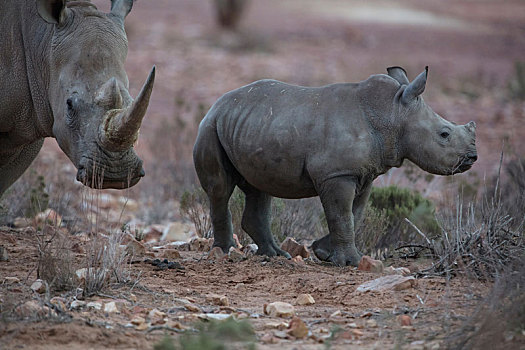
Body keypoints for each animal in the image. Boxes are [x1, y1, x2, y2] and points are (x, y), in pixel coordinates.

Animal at [194, 67, 476, 266]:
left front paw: (323, 252)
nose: (472, 157)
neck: (393, 114)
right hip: (211, 127)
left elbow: (355, 214)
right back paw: (225, 252)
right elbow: (341, 215)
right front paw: (349, 262)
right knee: (221, 189)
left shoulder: (364, 173)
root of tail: (216, 105)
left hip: (250, 126)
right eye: (444, 134)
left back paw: (277, 255)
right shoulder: (336, 174)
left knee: (259, 189)